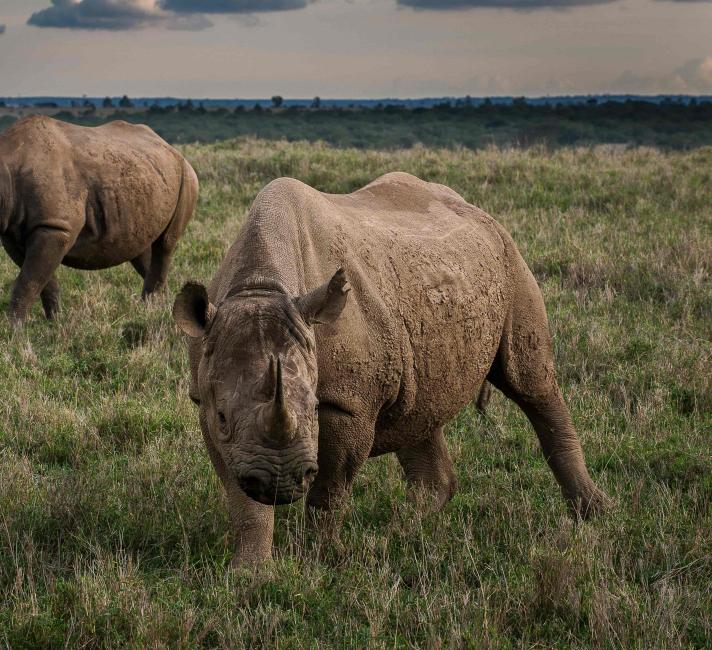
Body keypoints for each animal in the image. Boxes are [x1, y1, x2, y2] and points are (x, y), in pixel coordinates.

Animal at [0, 115, 197, 322]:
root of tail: (170, 147)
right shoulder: (14, 232)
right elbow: (42, 280)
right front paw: (55, 321)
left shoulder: (54, 227)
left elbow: (29, 281)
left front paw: (14, 327)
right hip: (148, 177)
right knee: (141, 247)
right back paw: (158, 310)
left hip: (186, 176)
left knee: (165, 244)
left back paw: (153, 311)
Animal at [171, 171, 608, 560]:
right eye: (224, 417)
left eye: (314, 409)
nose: (280, 483)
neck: (260, 286)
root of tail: (475, 209)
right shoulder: (210, 403)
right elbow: (242, 499)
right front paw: (252, 573)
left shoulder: (348, 402)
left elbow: (329, 493)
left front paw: (319, 558)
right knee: (420, 410)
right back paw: (400, 532)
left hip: (511, 258)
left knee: (531, 384)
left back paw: (593, 514)